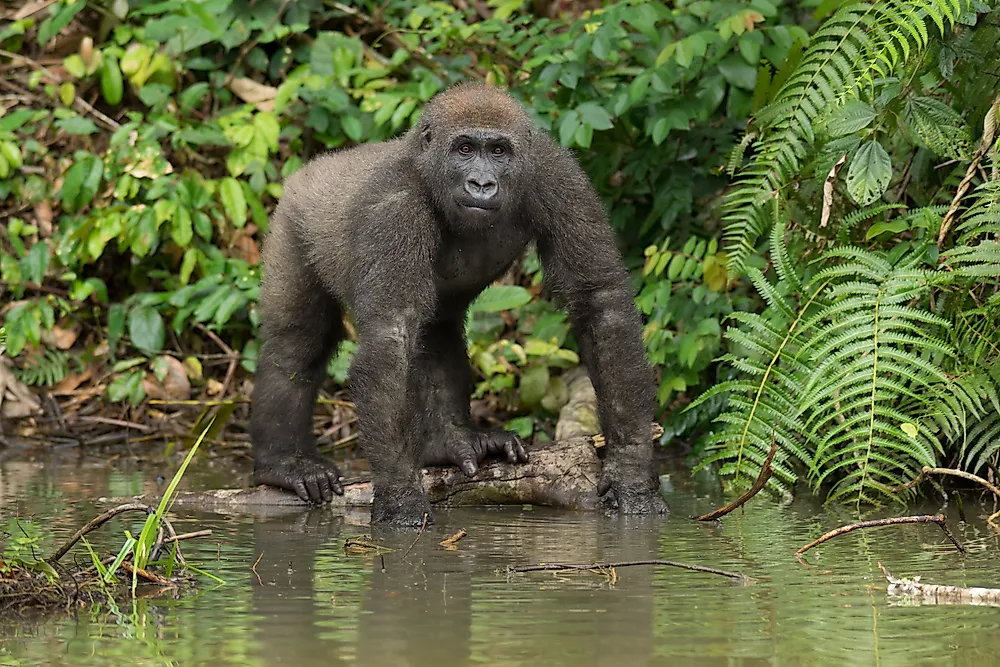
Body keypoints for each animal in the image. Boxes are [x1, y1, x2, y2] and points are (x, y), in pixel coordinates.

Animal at [250, 81, 668, 524]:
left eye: (498, 151)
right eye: (465, 149)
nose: (481, 184)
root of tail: (315, 167)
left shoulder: (558, 176)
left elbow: (599, 303)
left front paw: (631, 472)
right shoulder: (394, 207)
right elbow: (391, 336)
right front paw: (400, 497)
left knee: (437, 330)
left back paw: (448, 443)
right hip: (292, 217)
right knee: (297, 343)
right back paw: (284, 463)